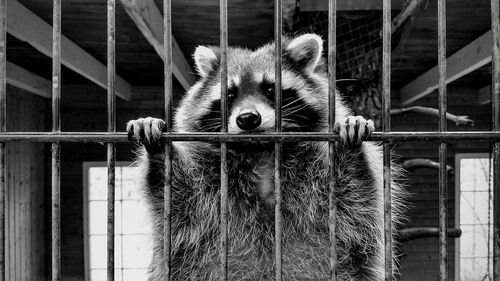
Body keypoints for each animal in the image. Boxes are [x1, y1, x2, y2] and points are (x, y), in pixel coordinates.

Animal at [127, 34, 404, 278]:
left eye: (271, 89)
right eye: (230, 94)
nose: (248, 118)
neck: (260, 153)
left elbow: (357, 193)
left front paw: (350, 147)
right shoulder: (206, 186)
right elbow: (175, 196)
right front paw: (158, 151)